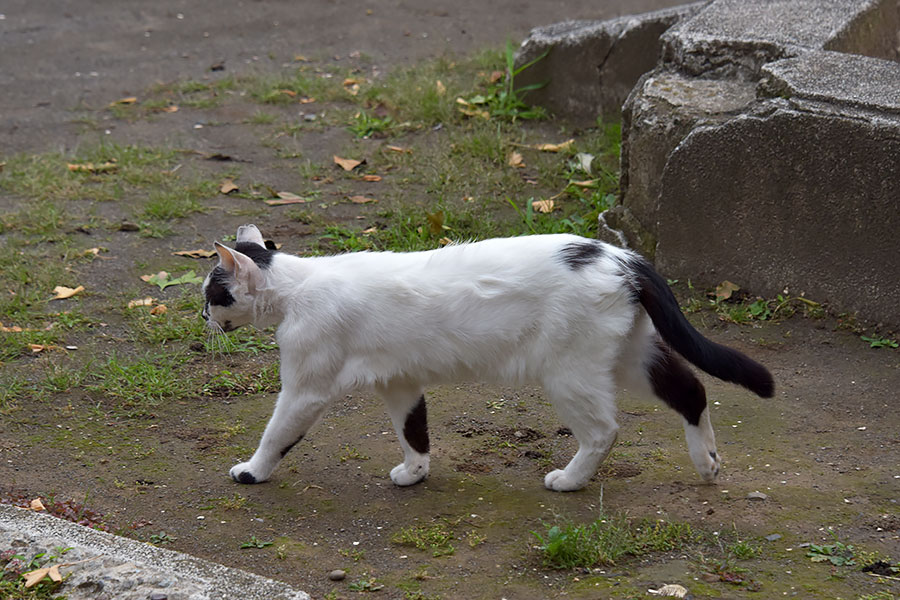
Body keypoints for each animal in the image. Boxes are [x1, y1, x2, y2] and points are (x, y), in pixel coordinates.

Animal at [202, 225, 772, 492]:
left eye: (211, 294)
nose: (202, 317)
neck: (297, 290)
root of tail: (622, 255)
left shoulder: (305, 388)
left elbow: (276, 434)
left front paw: (252, 472)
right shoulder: (400, 383)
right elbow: (414, 433)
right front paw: (415, 473)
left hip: (570, 373)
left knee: (604, 431)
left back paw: (570, 480)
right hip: (633, 356)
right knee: (692, 391)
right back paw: (707, 462)